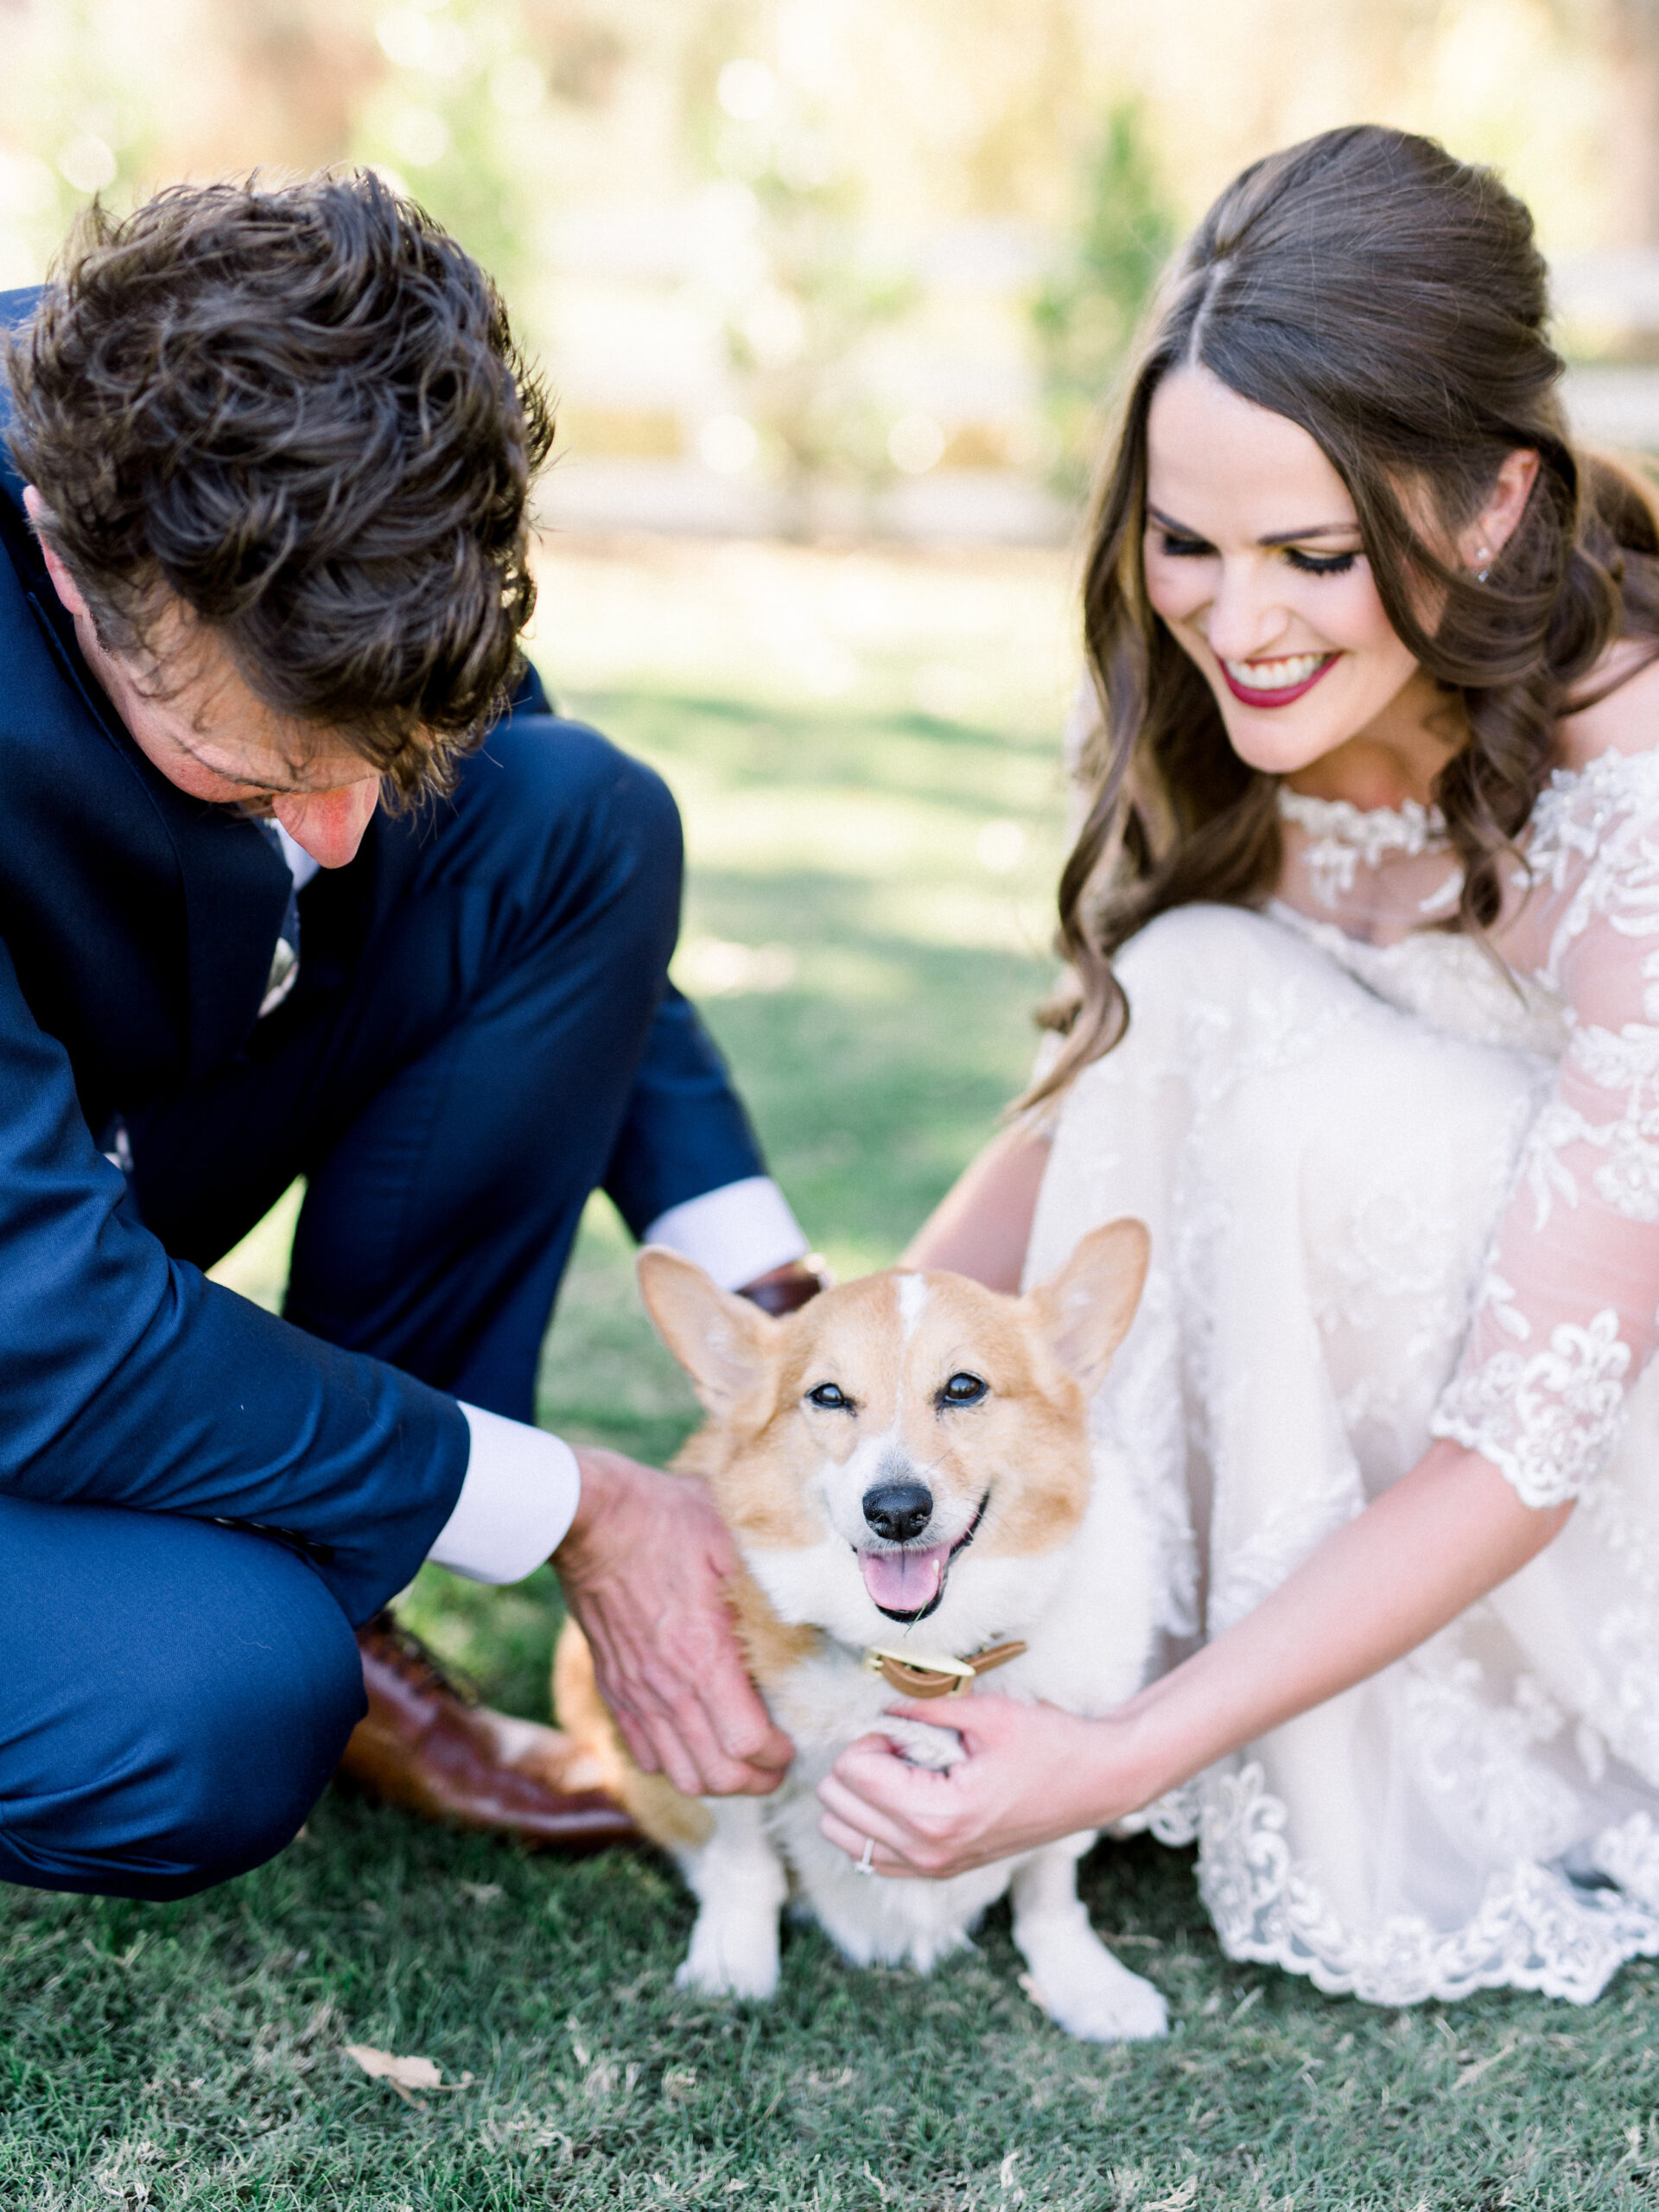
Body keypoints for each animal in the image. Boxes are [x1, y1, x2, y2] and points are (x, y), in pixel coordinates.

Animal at [548, 1221, 1167, 2044]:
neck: (918, 1655)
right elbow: (744, 1862)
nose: (897, 1510)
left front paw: (1086, 1981)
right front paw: (733, 1963)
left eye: (964, 1388)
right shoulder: (727, 1746)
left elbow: (1050, 1883)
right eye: (829, 1396)